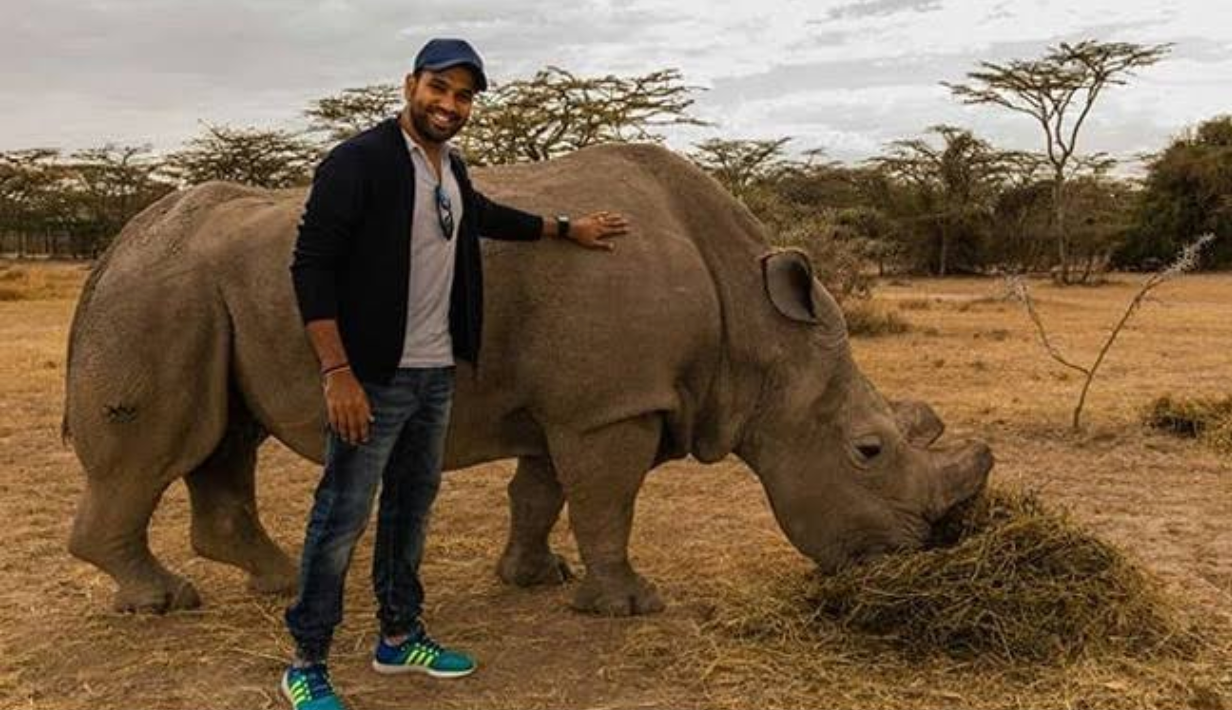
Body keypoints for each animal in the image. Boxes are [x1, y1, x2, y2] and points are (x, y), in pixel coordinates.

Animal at [63, 143, 993, 615]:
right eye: (868, 451)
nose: (923, 551)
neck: (758, 328)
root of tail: (115, 247)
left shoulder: (578, 402)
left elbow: (542, 494)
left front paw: (537, 579)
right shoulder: (609, 406)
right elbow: (606, 502)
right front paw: (630, 604)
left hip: (199, 293)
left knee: (225, 440)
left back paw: (281, 582)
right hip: (160, 293)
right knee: (161, 448)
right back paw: (164, 601)